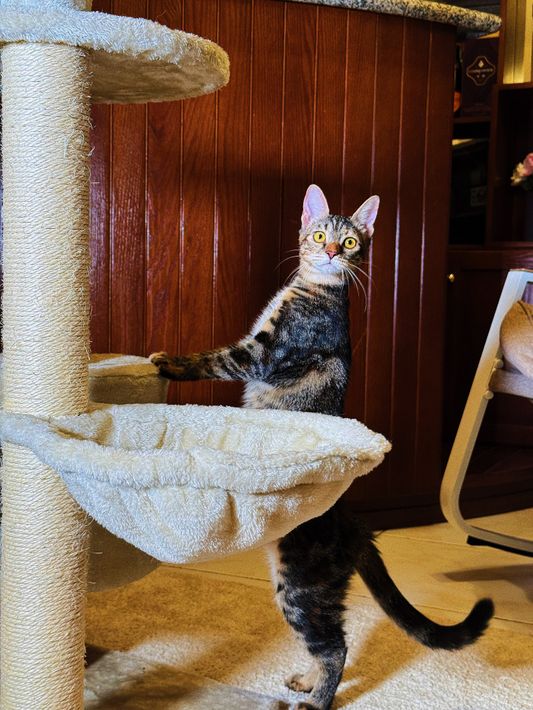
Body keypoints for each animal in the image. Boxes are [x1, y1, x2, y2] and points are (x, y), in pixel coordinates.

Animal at [150, 185, 493, 710]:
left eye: (351, 243)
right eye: (318, 236)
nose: (332, 252)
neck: (314, 289)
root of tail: (356, 527)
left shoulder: (262, 353)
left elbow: (211, 359)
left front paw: (168, 362)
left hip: (302, 586)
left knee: (334, 646)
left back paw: (317, 699)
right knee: (328, 643)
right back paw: (308, 682)